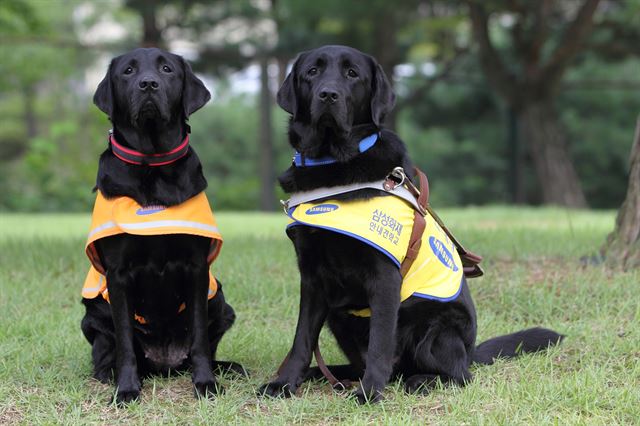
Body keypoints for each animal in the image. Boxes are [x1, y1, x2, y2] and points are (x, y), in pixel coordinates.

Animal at [80, 48, 240, 404]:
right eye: (127, 72)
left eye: (167, 69)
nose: (148, 84)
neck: (151, 164)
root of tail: (164, 363)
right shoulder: (117, 274)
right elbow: (126, 343)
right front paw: (126, 389)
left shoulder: (197, 268)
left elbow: (199, 339)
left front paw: (206, 383)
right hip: (93, 313)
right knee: (110, 351)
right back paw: (111, 374)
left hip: (221, 301)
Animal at [258, 45, 564, 402]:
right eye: (312, 72)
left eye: (352, 74)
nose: (328, 94)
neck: (334, 164)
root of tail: (470, 351)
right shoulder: (312, 277)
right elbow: (302, 339)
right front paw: (284, 382)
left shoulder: (384, 278)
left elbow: (380, 342)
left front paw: (369, 393)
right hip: (339, 316)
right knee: (367, 365)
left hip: (435, 327)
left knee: (458, 375)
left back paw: (418, 381)